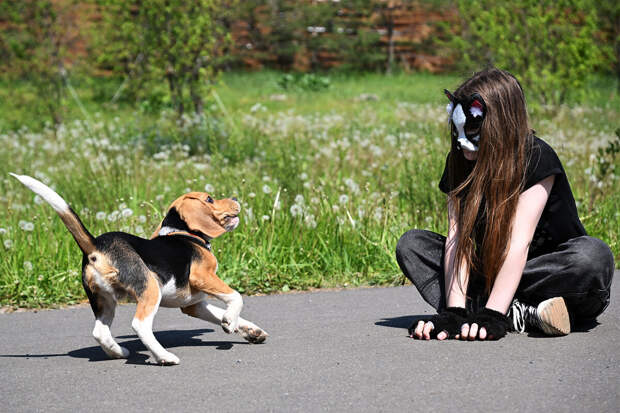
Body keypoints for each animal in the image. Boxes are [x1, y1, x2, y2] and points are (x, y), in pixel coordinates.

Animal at [9, 173, 266, 364]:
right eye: (210, 199)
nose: (235, 197)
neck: (183, 233)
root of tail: (96, 245)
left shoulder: (193, 304)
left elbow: (220, 312)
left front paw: (250, 330)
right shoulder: (203, 276)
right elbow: (236, 297)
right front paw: (230, 322)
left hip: (103, 300)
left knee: (100, 332)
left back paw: (118, 352)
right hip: (150, 288)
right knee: (140, 325)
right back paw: (164, 357)